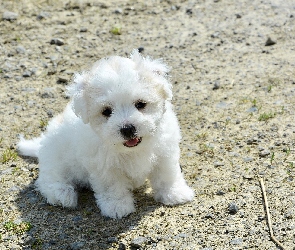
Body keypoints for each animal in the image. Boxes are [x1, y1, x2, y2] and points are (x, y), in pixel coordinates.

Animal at [17, 49, 195, 218]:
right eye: (106, 111)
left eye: (140, 104)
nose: (127, 128)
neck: (132, 150)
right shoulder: (104, 166)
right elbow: (112, 186)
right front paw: (117, 206)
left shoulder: (164, 152)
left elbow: (167, 175)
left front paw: (174, 193)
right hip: (55, 158)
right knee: (48, 179)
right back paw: (62, 194)